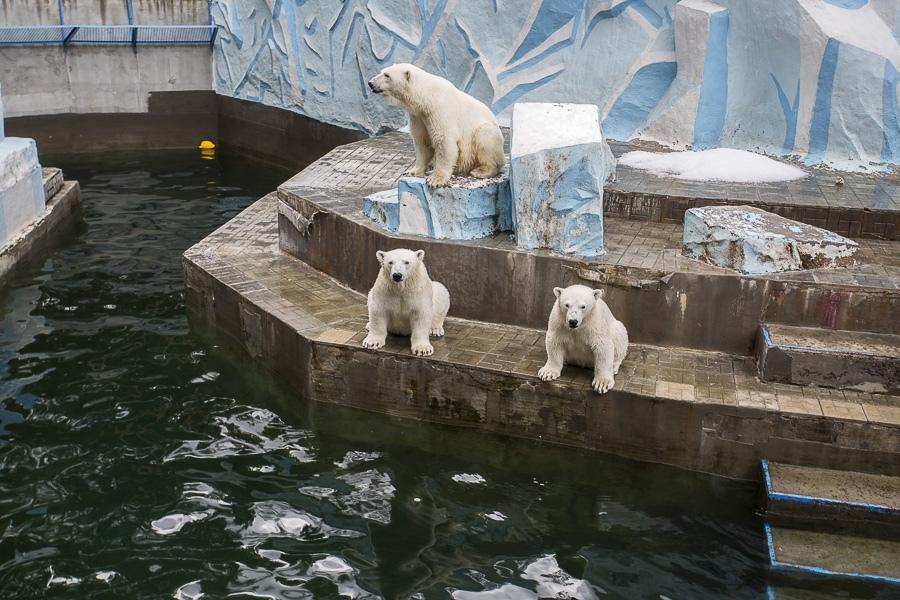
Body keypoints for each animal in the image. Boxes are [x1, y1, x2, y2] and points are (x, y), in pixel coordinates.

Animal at [368, 62, 506, 186]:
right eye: (382, 71)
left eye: (387, 75)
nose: (370, 83)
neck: (426, 98)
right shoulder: (418, 117)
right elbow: (422, 142)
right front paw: (413, 171)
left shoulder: (439, 112)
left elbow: (444, 142)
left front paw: (435, 180)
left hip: (485, 136)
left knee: (485, 136)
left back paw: (481, 171)